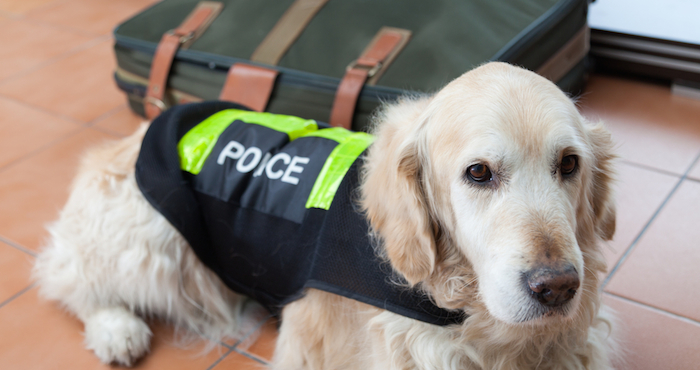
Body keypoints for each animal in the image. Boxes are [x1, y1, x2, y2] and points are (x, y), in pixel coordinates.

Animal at [32, 62, 616, 368]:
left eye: (569, 164)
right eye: (478, 173)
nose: (557, 287)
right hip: (152, 240)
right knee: (68, 276)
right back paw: (115, 328)